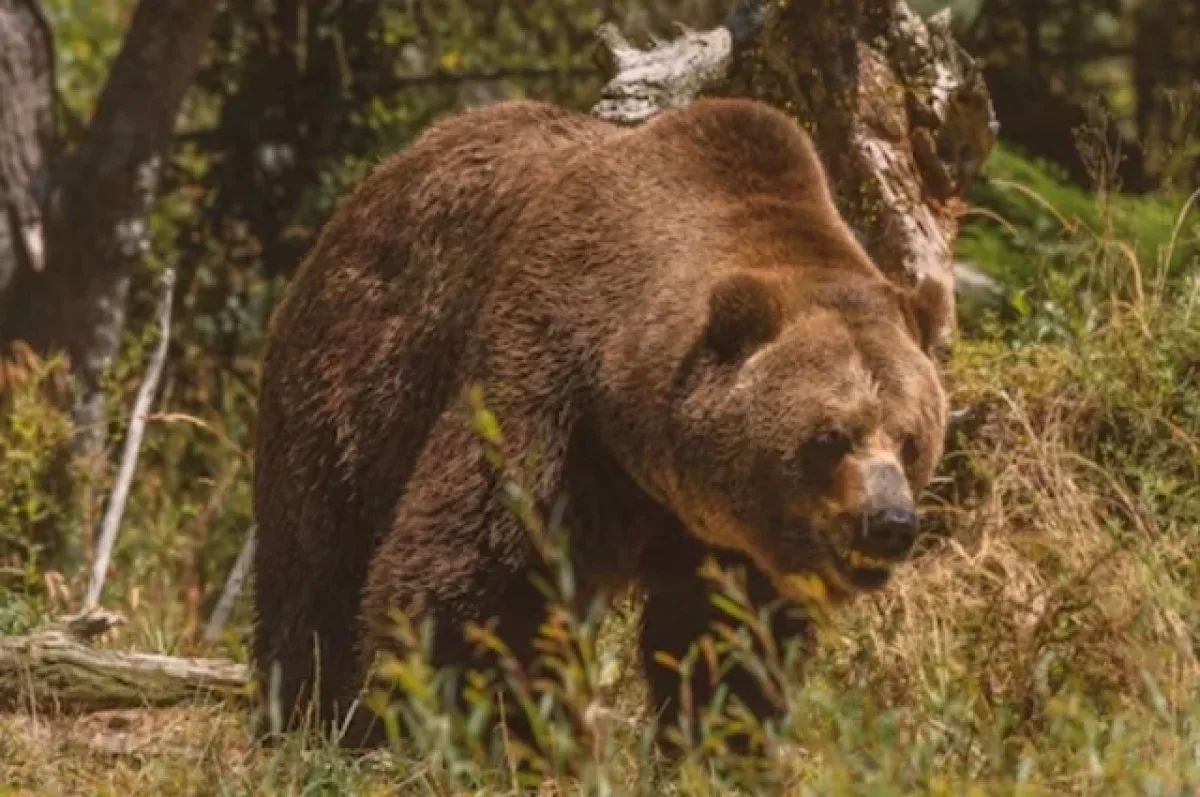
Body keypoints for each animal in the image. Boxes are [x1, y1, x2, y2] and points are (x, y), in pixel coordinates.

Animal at [252, 97, 948, 746]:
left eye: (911, 440)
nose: (888, 522)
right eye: (830, 436)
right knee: (315, 569)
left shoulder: (728, 542)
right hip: (353, 389)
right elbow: (487, 582)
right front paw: (492, 730)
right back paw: (306, 721)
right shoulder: (552, 402)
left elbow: (727, 642)